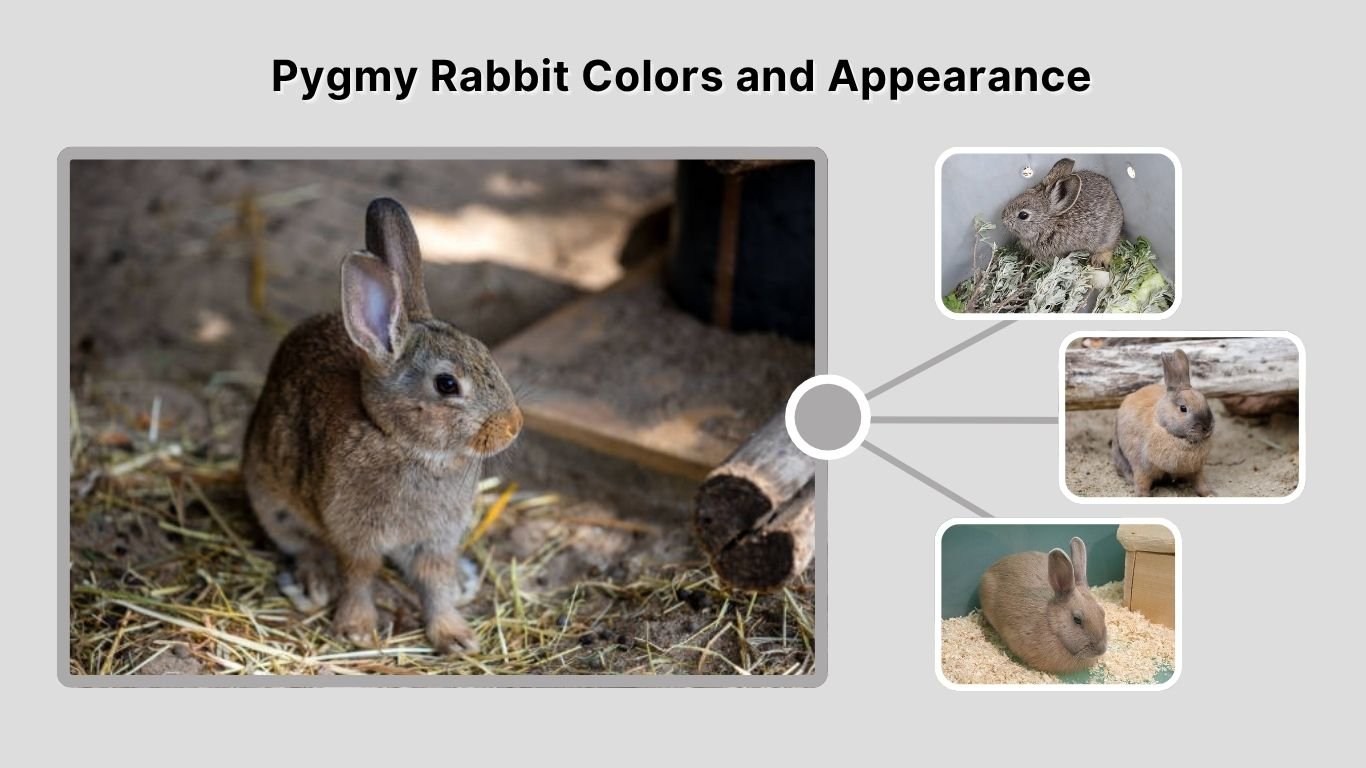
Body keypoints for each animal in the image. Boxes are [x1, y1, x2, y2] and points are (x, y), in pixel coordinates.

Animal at [242, 197, 523, 654]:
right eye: (447, 384)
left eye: (485, 352)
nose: (513, 426)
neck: (403, 442)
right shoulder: (355, 532)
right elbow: (359, 574)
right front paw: (355, 629)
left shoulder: (437, 538)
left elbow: (434, 582)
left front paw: (455, 636)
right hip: (272, 498)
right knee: (301, 544)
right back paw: (313, 582)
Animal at [1112, 347, 1215, 497]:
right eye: (1183, 408)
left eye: (1205, 400)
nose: (1207, 427)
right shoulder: (1142, 468)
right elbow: (1142, 483)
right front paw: (1143, 496)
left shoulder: (1196, 469)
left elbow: (1200, 482)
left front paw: (1209, 493)